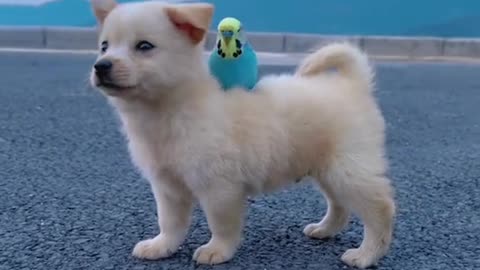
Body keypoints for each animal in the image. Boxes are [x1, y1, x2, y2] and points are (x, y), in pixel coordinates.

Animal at [89, 0, 394, 268]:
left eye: (144, 46)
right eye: (104, 46)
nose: (101, 65)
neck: (168, 109)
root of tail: (352, 84)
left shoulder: (220, 187)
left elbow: (222, 224)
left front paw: (217, 251)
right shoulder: (167, 186)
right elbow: (170, 222)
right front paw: (161, 246)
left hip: (348, 168)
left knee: (381, 208)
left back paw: (366, 255)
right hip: (327, 168)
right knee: (340, 205)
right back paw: (325, 230)